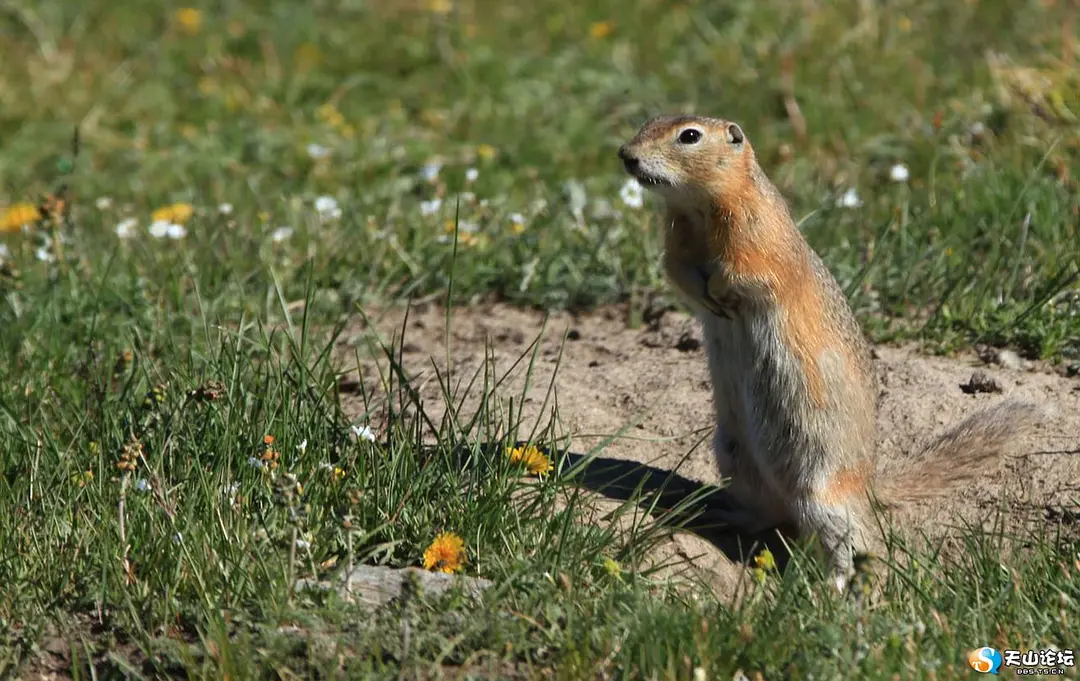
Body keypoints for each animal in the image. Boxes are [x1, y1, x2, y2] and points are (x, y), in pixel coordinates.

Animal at [617, 114, 1045, 595]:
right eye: (648, 122)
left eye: (689, 135)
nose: (626, 155)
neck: (699, 208)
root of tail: (867, 484)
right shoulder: (676, 240)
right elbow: (678, 273)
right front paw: (708, 298)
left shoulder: (758, 232)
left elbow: (749, 270)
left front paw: (722, 292)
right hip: (733, 454)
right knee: (767, 516)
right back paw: (722, 513)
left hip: (824, 494)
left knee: (857, 542)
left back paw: (835, 587)